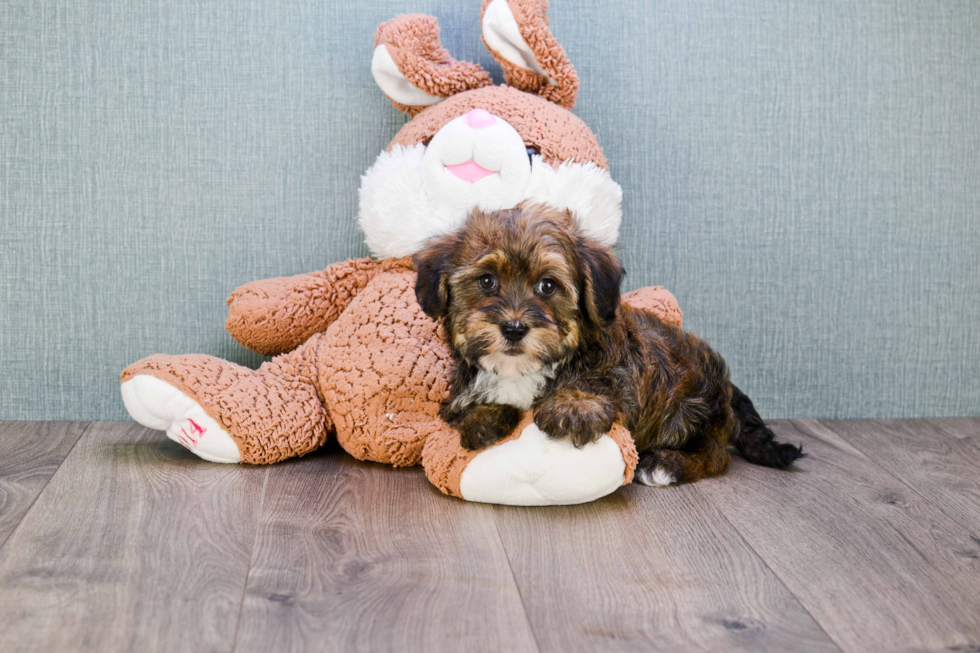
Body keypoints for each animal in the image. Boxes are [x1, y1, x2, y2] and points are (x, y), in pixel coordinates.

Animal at [414, 204, 804, 484]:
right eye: (486, 281)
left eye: (547, 286)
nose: (513, 327)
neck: (524, 370)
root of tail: (727, 384)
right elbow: (465, 408)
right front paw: (483, 417)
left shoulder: (618, 370)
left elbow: (599, 383)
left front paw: (574, 405)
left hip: (695, 406)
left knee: (715, 455)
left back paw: (666, 465)